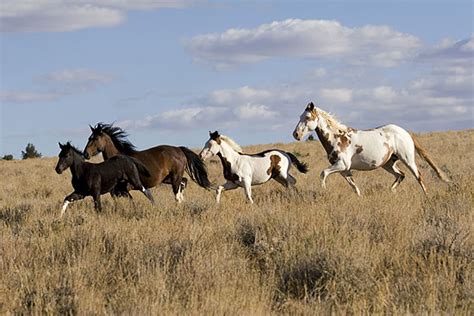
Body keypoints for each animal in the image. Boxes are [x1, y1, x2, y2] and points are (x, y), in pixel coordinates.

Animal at [83, 122, 211, 201]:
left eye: (95, 138)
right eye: (89, 138)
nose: (85, 154)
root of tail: (179, 149)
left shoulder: (125, 188)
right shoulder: (117, 191)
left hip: (175, 176)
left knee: (178, 189)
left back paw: (179, 201)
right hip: (168, 178)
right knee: (184, 182)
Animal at [292, 101, 452, 195]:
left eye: (307, 118)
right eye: (299, 117)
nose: (296, 134)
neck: (337, 138)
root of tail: (406, 133)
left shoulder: (341, 165)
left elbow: (323, 173)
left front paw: (324, 190)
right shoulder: (344, 170)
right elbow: (354, 187)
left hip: (407, 159)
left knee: (418, 175)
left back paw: (425, 195)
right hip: (388, 163)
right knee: (401, 175)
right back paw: (390, 192)